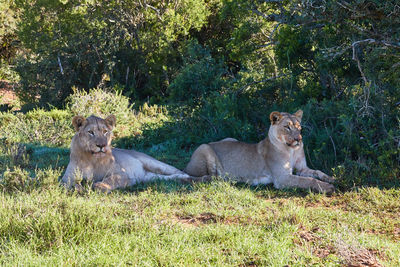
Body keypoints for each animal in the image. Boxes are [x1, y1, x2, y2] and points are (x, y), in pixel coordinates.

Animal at [61, 115, 190, 193]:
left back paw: (188, 178)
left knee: (178, 171)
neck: (92, 159)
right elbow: (66, 184)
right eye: (91, 132)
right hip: (149, 178)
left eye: (105, 131)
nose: (102, 145)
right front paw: (78, 187)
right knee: (165, 178)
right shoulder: (67, 177)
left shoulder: (122, 174)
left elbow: (111, 179)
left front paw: (100, 186)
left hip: (155, 163)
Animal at [186, 110, 336, 194]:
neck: (292, 150)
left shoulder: (302, 168)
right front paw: (328, 187)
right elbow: (308, 180)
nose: (298, 139)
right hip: (204, 147)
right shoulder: (282, 178)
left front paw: (331, 178)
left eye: (299, 127)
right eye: (287, 127)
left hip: (230, 138)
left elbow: (317, 172)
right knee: (205, 177)